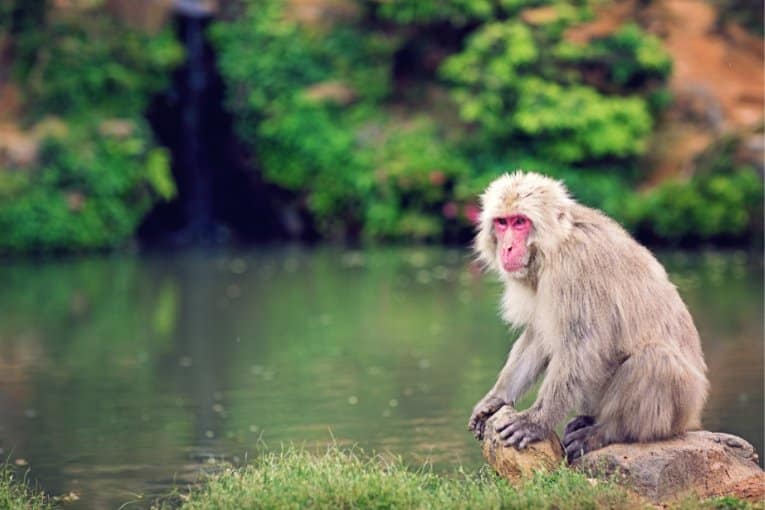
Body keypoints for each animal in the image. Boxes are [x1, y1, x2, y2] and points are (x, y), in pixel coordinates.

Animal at [467, 171, 708, 462]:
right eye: (502, 223)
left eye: (520, 222)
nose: (508, 247)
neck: (555, 244)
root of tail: (692, 417)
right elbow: (540, 336)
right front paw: (497, 399)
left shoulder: (575, 269)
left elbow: (582, 345)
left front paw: (537, 421)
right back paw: (588, 420)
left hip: (679, 409)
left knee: (655, 359)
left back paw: (607, 431)